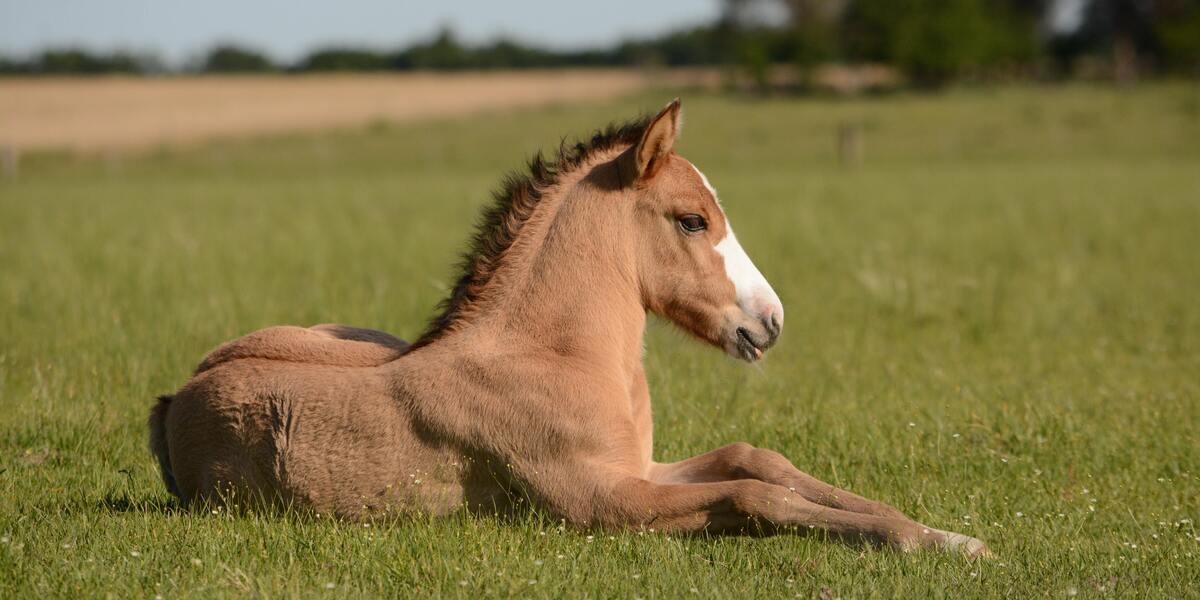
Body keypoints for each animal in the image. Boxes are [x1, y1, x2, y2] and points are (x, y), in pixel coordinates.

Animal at [150, 99, 988, 556]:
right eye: (692, 219)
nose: (770, 321)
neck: (554, 356)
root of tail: (174, 397)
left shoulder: (641, 469)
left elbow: (759, 460)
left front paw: (943, 534)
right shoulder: (601, 502)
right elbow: (756, 497)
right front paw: (925, 542)